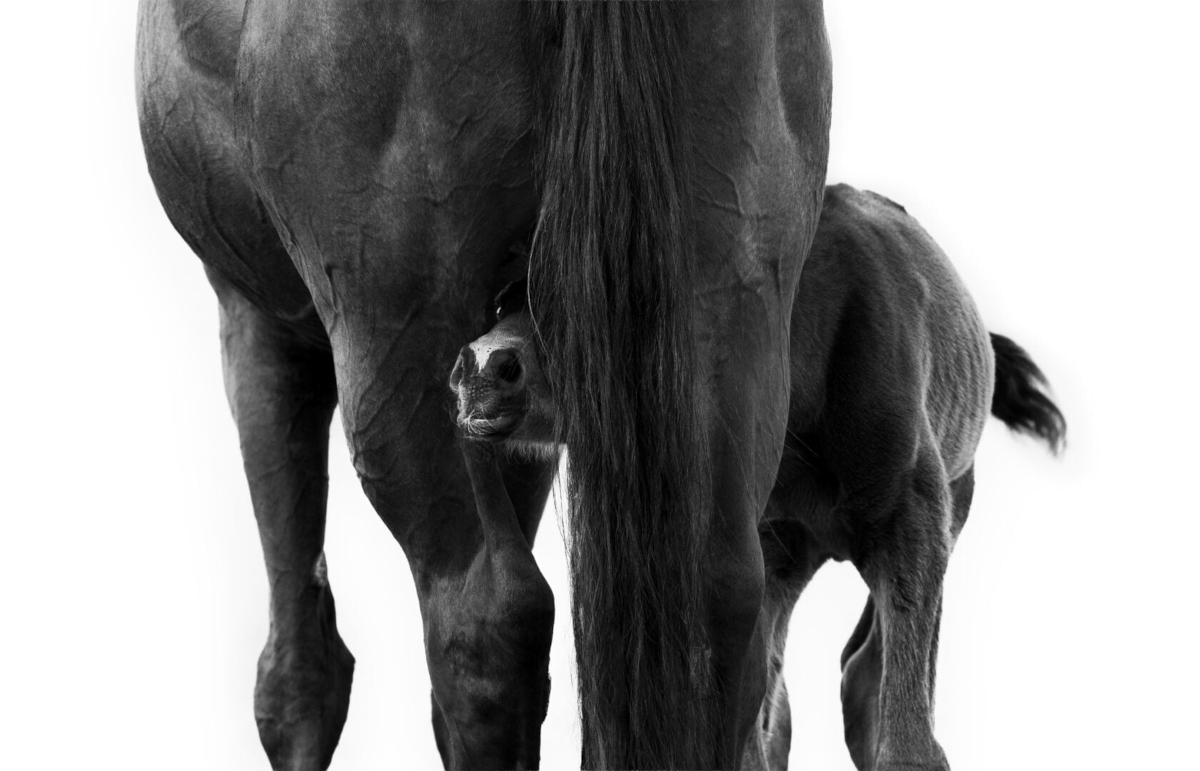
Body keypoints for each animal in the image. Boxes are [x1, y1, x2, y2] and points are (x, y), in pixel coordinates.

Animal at [137, 2, 836, 769]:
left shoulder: (257, 317)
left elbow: (298, 677)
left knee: (486, 623)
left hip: (399, 338)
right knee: (719, 600)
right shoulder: (514, 381)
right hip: (732, 299)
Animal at [451, 183, 1067, 771]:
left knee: (864, 672)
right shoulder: (761, 545)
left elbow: (906, 719)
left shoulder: (912, 514)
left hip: (952, 497)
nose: (483, 368)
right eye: (503, 300)